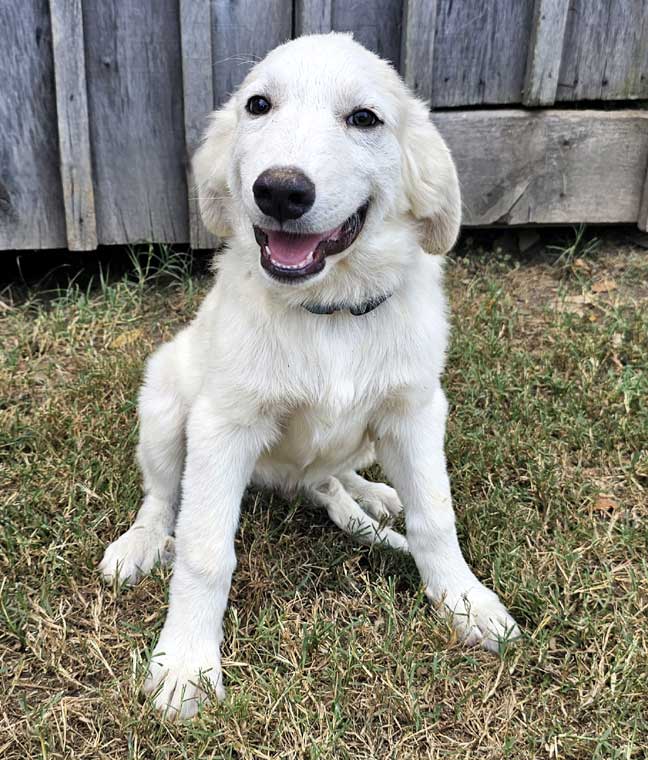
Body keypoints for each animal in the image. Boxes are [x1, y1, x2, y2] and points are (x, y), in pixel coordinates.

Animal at [98, 31, 520, 720]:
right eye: (258, 105)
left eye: (365, 118)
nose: (280, 191)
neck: (331, 313)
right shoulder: (223, 427)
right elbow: (204, 549)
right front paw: (185, 664)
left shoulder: (416, 412)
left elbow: (435, 517)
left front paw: (466, 603)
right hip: (163, 401)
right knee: (162, 496)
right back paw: (140, 544)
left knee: (342, 477)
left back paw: (372, 492)